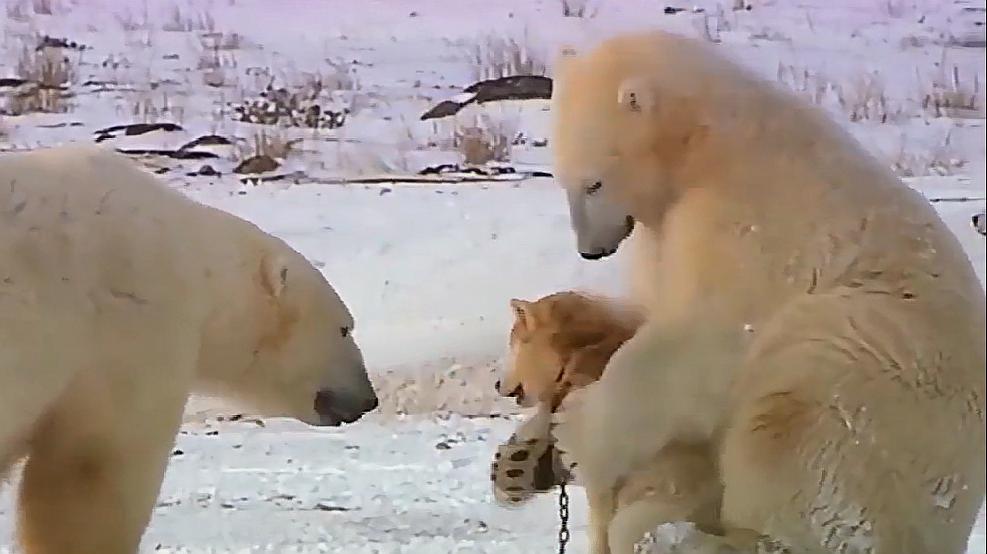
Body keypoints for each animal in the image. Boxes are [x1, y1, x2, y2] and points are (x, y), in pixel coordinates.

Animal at [548, 29, 987, 552]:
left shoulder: (745, 218)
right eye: (561, 180)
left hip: (881, 375)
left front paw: (573, 432)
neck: (701, 139)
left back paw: (685, 532)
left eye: (594, 183)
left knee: (796, 424)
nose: (590, 250)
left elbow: (704, 335)